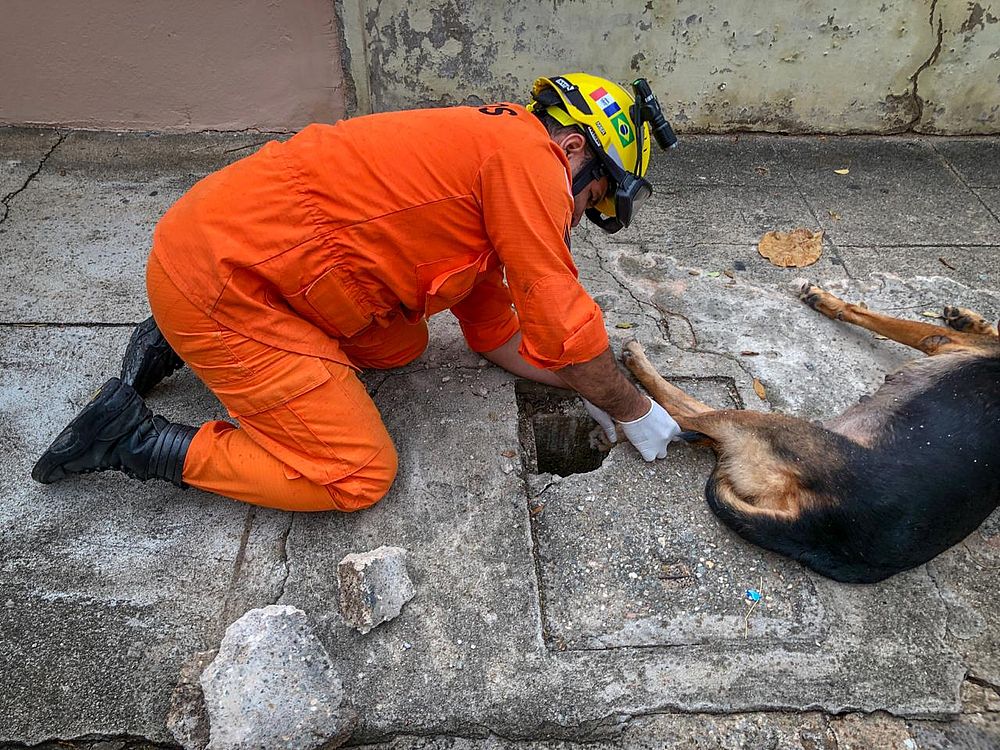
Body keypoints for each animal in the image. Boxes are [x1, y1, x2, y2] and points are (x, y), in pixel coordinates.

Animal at [622, 282, 1000, 584]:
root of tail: (818, 530)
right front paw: (972, 318)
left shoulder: (943, 341)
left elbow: (877, 317)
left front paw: (828, 301)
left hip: (769, 427)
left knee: (684, 412)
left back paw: (639, 369)